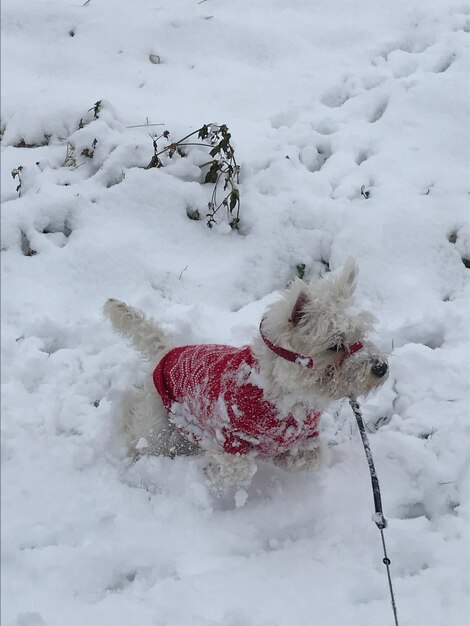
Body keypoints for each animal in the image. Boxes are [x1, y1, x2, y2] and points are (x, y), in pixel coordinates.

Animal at [105, 260, 390, 486]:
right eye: (336, 346)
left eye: (361, 336)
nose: (381, 368)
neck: (282, 395)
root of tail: (167, 351)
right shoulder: (231, 437)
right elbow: (236, 469)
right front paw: (210, 468)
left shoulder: (305, 439)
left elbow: (312, 457)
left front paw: (280, 458)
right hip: (157, 425)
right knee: (139, 433)